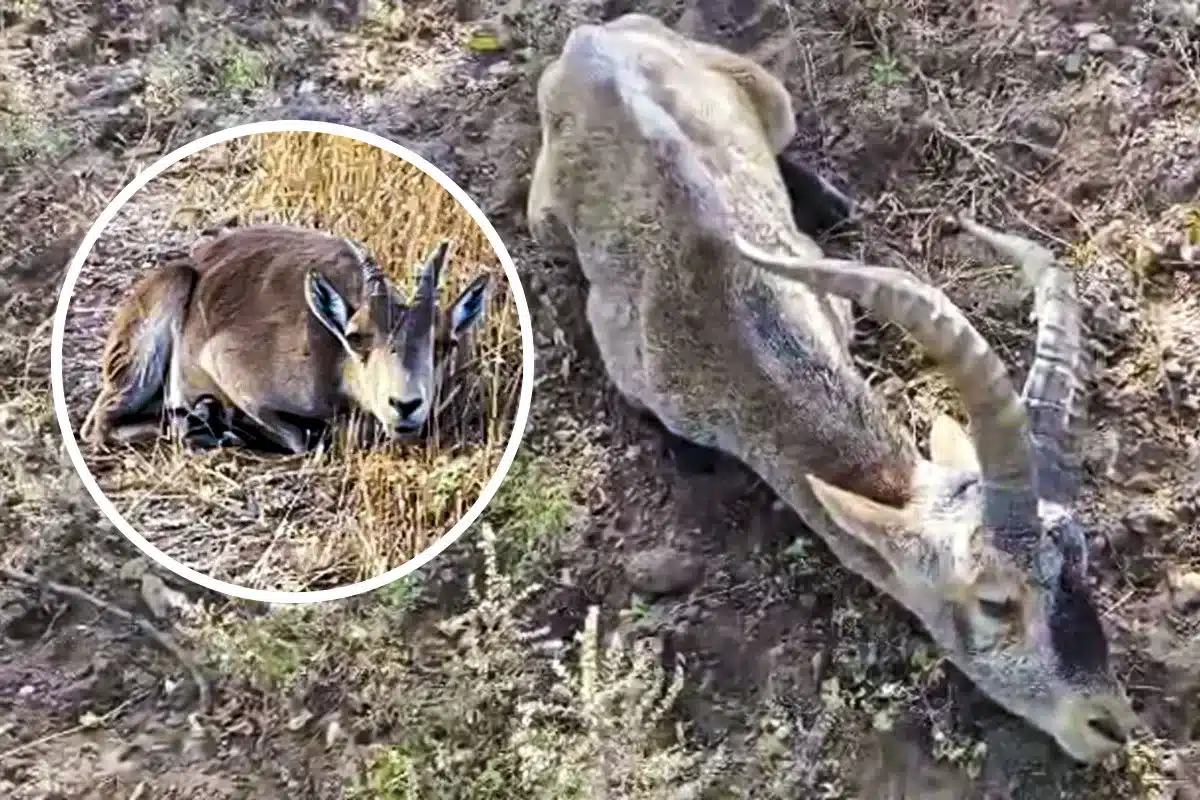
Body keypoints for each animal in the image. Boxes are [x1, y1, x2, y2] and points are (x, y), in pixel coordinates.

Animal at [80, 224, 492, 454]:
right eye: (357, 337)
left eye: (446, 343)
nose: (404, 406)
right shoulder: (229, 365)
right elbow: (298, 437)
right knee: (99, 424)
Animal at [527, 13, 1140, 763]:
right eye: (995, 601)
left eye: (1084, 556)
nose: (1109, 723)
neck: (735, 325)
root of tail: (595, 33)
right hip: (544, 214)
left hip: (770, 96)